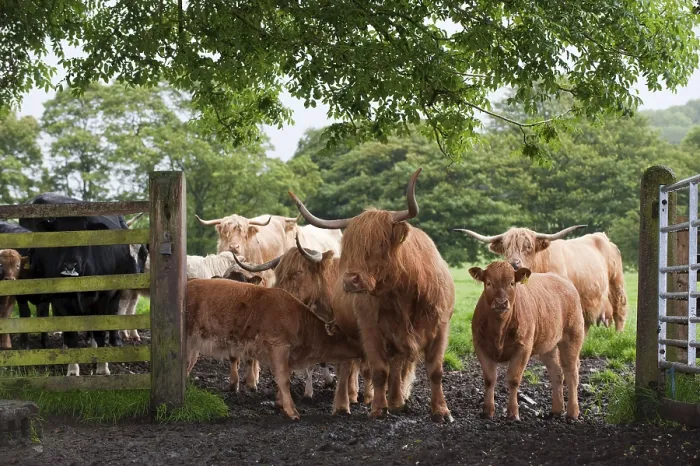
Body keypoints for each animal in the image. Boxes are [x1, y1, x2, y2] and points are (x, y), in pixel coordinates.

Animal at [20, 193, 138, 377]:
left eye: (83, 235)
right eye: (58, 237)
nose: (70, 265)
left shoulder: (102, 297)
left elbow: (100, 331)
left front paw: (102, 367)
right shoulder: (60, 300)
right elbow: (71, 335)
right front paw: (73, 370)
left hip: (116, 292)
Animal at [185, 278, 363, 419]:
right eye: (348, 337)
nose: (363, 351)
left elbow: (281, 377)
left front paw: (280, 404)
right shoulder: (279, 346)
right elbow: (284, 378)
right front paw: (292, 411)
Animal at [288, 168, 456, 423]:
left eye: (379, 244)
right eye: (350, 247)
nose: (350, 280)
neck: (403, 292)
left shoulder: (440, 327)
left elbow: (435, 370)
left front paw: (441, 411)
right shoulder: (370, 329)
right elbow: (378, 370)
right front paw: (378, 408)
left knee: (395, 364)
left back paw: (396, 401)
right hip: (344, 330)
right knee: (346, 366)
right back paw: (342, 404)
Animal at [455, 226, 628, 333]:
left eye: (528, 247)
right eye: (506, 248)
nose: (514, 264)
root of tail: (602, 237)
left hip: (616, 282)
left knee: (619, 307)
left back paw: (618, 334)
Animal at [469, 261, 585, 420]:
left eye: (511, 283)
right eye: (488, 283)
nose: (501, 303)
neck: (499, 329)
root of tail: (564, 280)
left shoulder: (523, 348)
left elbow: (513, 379)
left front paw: (513, 413)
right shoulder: (480, 346)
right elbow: (489, 379)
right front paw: (487, 411)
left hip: (572, 337)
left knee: (571, 372)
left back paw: (572, 413)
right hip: (548, 345)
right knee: (557, 373)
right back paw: (556, 410)